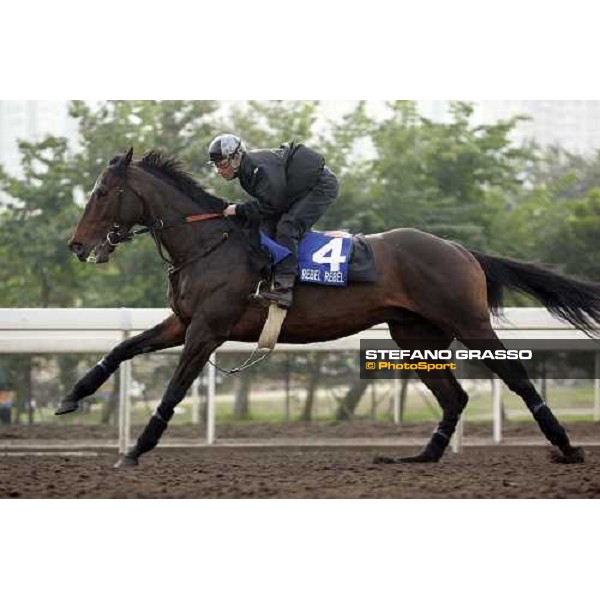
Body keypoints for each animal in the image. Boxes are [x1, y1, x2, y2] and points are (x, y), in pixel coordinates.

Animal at [57, 149, 596, 468]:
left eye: (101, 193)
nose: (77, 246)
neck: (208, 242)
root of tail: (460, 250)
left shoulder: (207, 329)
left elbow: (173, 390)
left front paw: (135, 449)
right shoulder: (182, 322)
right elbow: (122, 349)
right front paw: (71, 397)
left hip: (468, 322)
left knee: (517, 380)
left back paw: (567, 447)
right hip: (415, 336)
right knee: (455, 397)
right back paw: (423, 456)